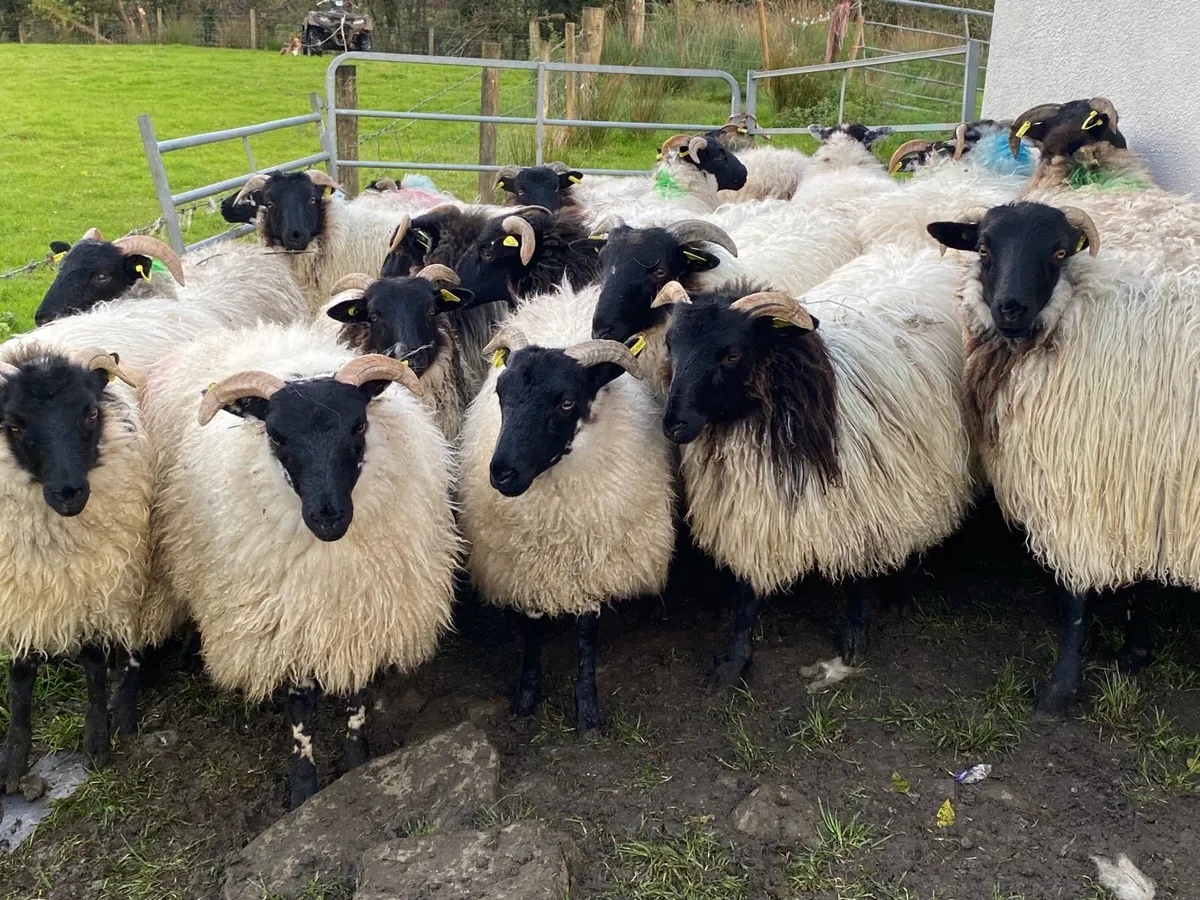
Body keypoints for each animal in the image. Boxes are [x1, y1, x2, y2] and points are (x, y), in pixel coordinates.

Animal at [0, 345, 182, 791]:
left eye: (91, 413)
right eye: (14, 424)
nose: (70, 492)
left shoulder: (99, 579)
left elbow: (95, 662)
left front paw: (97, 741)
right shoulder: (17, 591)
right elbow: (20, 674)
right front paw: (13, 758)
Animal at [143, 327, 459, 807]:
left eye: (359, 425)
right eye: (276, 436)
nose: (328, 516)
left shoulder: (361, 616)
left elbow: (355, 689)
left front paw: (357, 760)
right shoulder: (288, 623)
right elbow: (300, 706)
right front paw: (304, 785)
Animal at [457, 281, 675, 735]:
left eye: (567, 403)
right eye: (501, 394)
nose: (502, 473)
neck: (556, 522)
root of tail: (566, 294)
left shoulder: (593, 563)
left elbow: (587, 633)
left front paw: (587, 708)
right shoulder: (524, 566)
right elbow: (531, 630)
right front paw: (525, 695)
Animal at [648, 261, 974, 683]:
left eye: (732, 354)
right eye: (672, 346)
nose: (674, 424)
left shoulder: (860, 503)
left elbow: (856, 578)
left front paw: (854, 638)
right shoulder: (751, 509)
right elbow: (744, 595)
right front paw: (735, 661)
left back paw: (901, 591)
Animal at [927, 200, 1200, 714]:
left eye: (1058, 252)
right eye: (984, 248)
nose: (1010, 308)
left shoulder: (1079, 482)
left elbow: (1074, 597)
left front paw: (1060, 689)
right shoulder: (1131, 484)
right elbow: (1135, 582)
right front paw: (1135, 653)